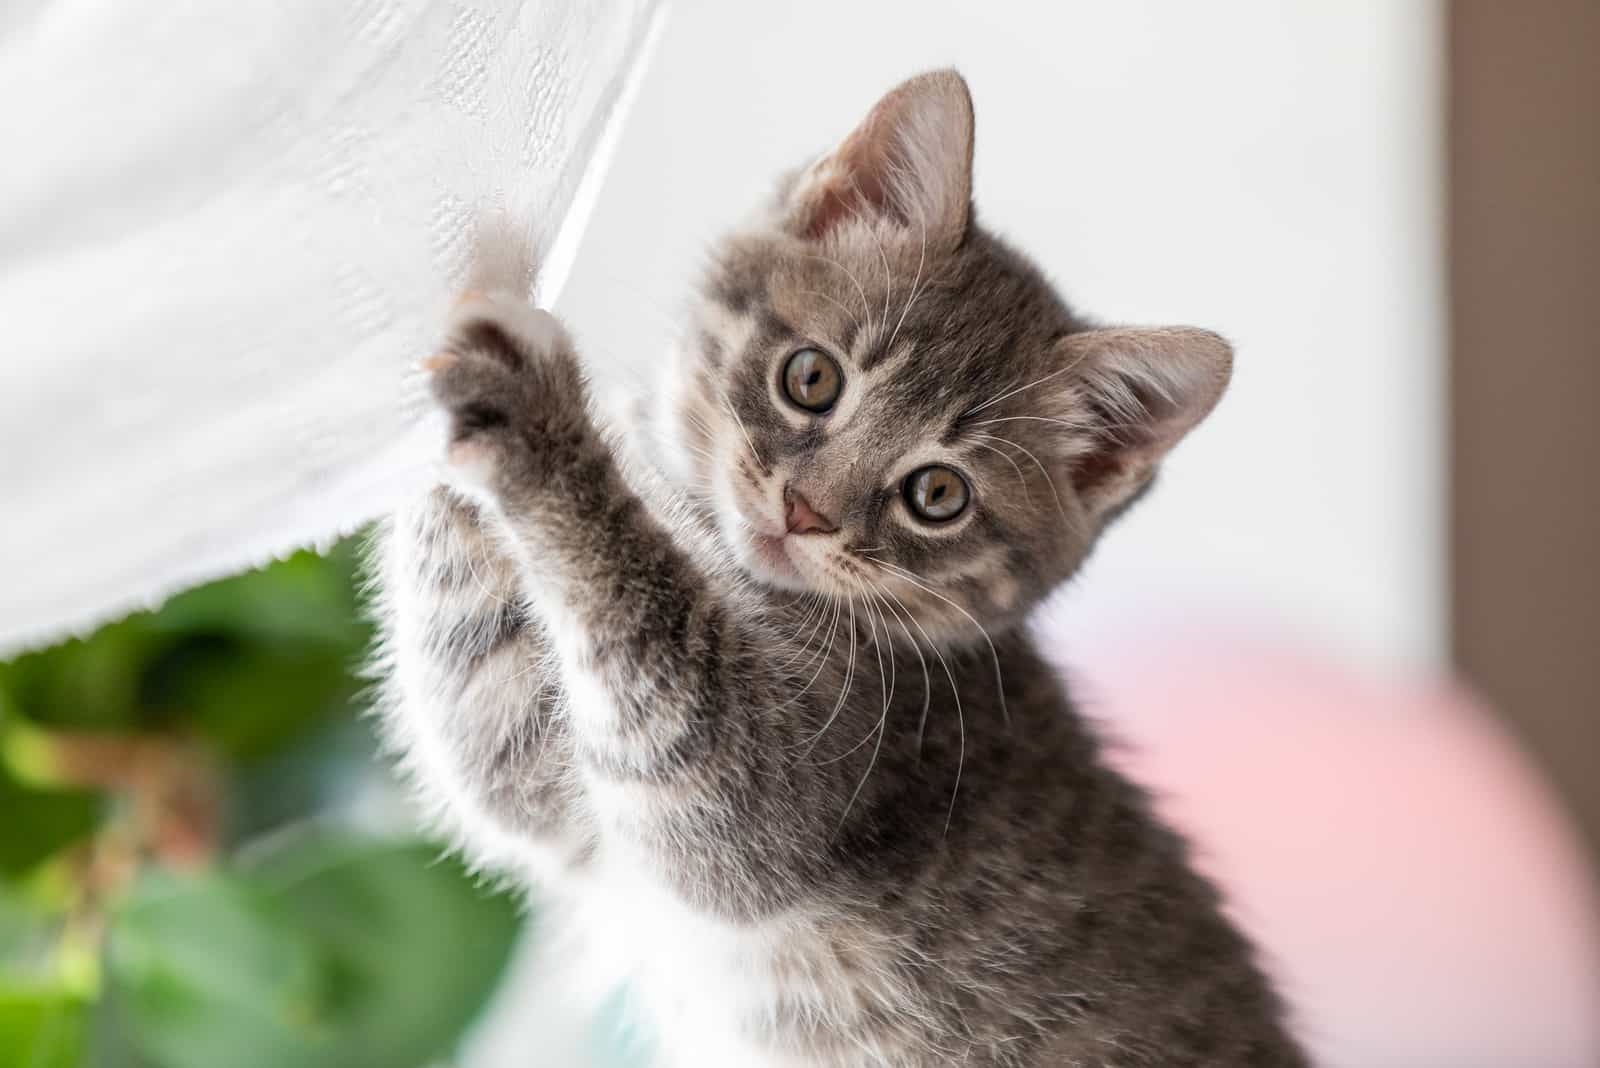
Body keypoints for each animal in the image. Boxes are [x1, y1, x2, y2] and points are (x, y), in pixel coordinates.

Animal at [377, 70, 1312, 1061]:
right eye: (812, 378)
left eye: (937, 494)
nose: (805, 510)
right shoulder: (549, 783)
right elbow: (492, 739)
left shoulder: (789, 778)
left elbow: (644, 634)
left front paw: (535, 413)